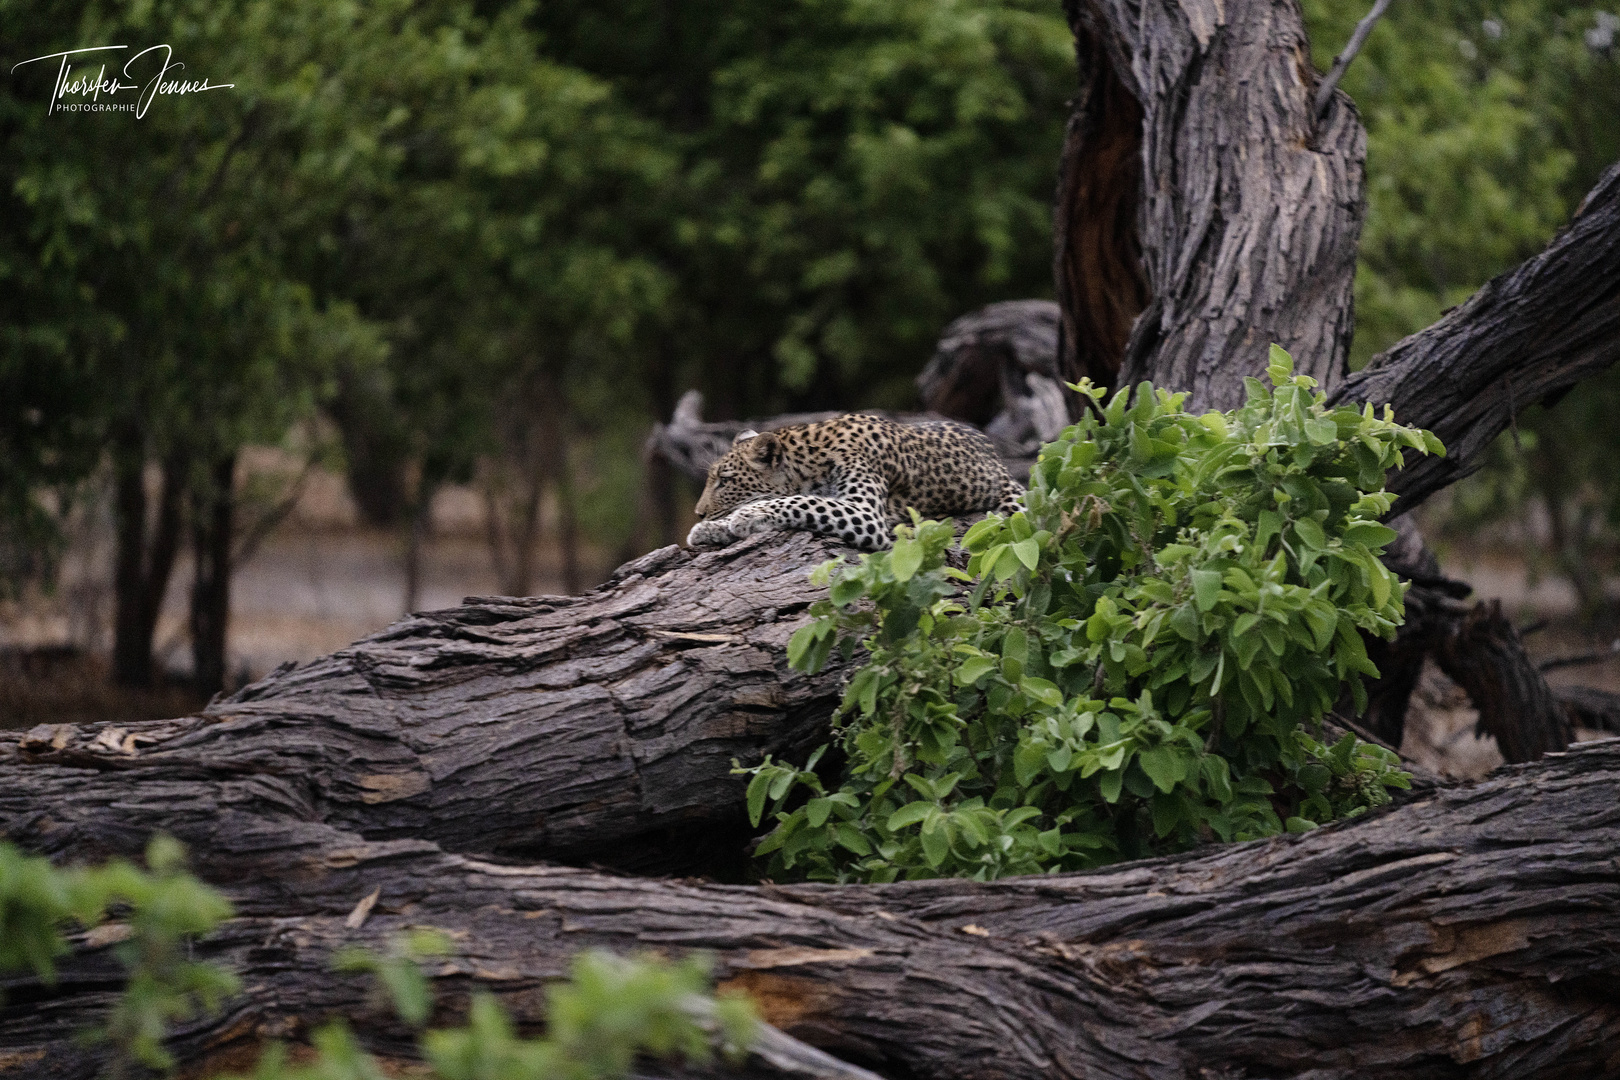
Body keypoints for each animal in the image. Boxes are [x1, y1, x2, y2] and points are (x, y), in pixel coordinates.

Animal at [686, 411, 1023, 553]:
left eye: (724, 481)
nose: (698, 513)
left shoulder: (866, 514)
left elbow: (804, 501)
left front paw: (748, 515)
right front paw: (708, 529)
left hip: (1016, 500)